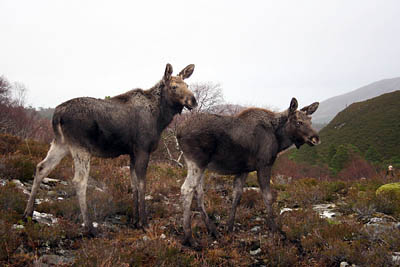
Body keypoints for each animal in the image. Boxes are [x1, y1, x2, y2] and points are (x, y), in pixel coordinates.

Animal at [23, 63, 197, 234]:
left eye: (187, 85)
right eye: (174, 86)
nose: (193, 101)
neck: (160, 118)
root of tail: (57, 115)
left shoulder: (132, 153)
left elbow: (133, 185)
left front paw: (135, 221)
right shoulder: (143, 149)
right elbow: (142, 185)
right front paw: (144, 223)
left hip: (61, 143)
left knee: (41, 167)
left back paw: (28, 214)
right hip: (81, 146)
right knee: (79, 180)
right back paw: (89, 226)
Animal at [177, 97, 320, 248]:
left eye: (310, 120)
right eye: (299, 122)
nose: (315, 138)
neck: (280, 138)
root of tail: (178, 133)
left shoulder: (244, 169)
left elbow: (237, 195)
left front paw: (229, 228)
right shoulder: (264, 164)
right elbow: (268, 197)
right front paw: (275, 230)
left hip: (201, 165)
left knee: (198, 191)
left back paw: (212, 230)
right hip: (197, 161)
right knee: (187, 189)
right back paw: (190, 238)